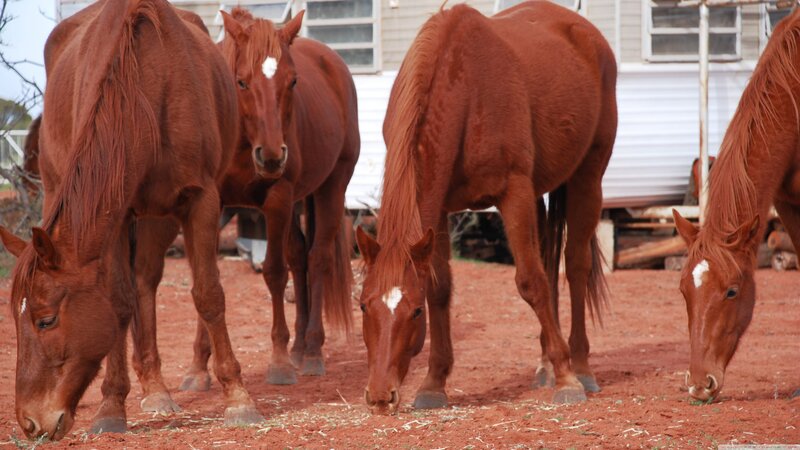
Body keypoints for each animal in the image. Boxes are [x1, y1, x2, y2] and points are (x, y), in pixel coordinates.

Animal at [0, 0, 263, 440]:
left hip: (160, 217)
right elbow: (120, 304)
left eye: (45, 320)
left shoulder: (201, 199)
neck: (146, 91)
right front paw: (110, 406)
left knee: (147, 282)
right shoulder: (117, 215)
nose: (30, 422)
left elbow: (208, 295)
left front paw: (239, 398)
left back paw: (156, 388)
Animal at [354, 0, 617, 414]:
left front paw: (566, 378)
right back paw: (545, 364)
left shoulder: (515, 194)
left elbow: (531, 282)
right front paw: (433, 383)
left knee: (574, 266)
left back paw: (580, 365)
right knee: (550, 262)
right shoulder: (439, 210)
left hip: (587, 177)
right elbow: (441, 287)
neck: (464, 92)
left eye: (414, 312)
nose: (381, 396)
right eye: (364, 306)